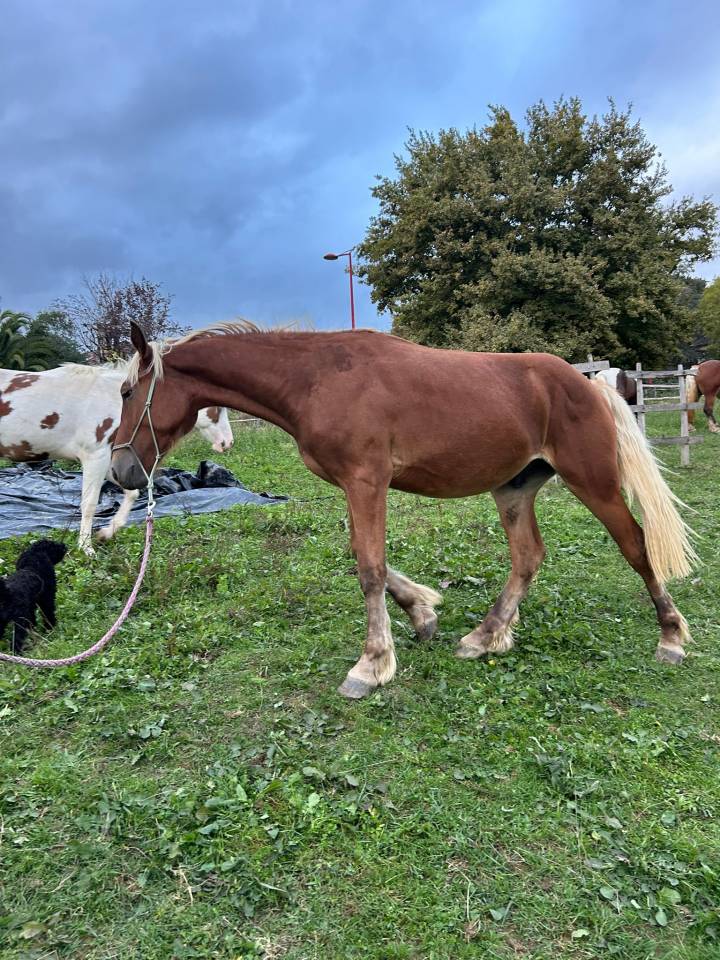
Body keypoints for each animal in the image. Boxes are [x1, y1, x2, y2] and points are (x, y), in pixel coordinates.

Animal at [0, 362, 233, 554]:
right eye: (217, 407)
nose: (227, 443)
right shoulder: (95, 457)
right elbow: (89, 504)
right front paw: (86, 548)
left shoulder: (110, 463)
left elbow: (132, 494)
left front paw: (106, 533)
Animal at [111, 322, 696, 699]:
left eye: (126, 391)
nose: (121, 470)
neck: (317, 378)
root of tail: (589, 385)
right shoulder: (356, 487)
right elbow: (366, 558)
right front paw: (422, 613)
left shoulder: (367, 482)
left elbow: (369, 567)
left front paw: (371, 665)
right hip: (513, 490)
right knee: (528, 557)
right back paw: (486, 636)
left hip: (594, 483)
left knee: (636, 545)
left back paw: (670, 637)